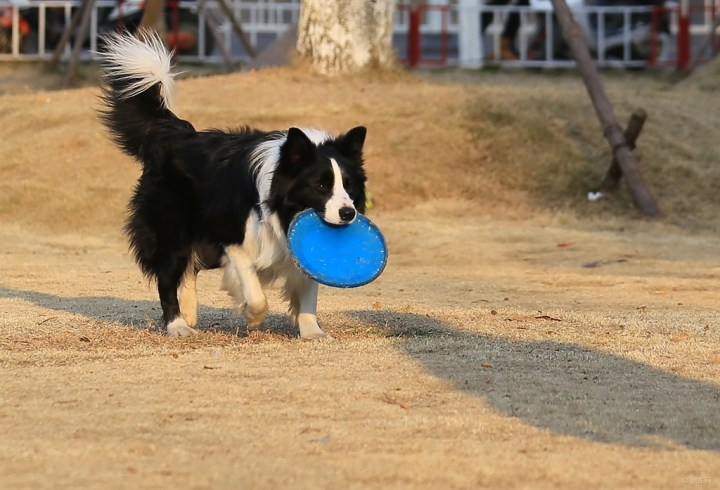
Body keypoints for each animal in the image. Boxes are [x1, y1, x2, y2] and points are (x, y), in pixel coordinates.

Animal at [97, 30, 366, 336]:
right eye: (320, 186)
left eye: (349, 187)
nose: (348, 213)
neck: (280, 202)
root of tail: (175, 133)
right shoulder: (233, 236)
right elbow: (255, 291)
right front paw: (253, 316)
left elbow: (308, 290)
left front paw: (313, 332)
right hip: (170, 226)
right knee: (168, 276)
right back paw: (177, 325)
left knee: (188, 270)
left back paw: (189, 311)